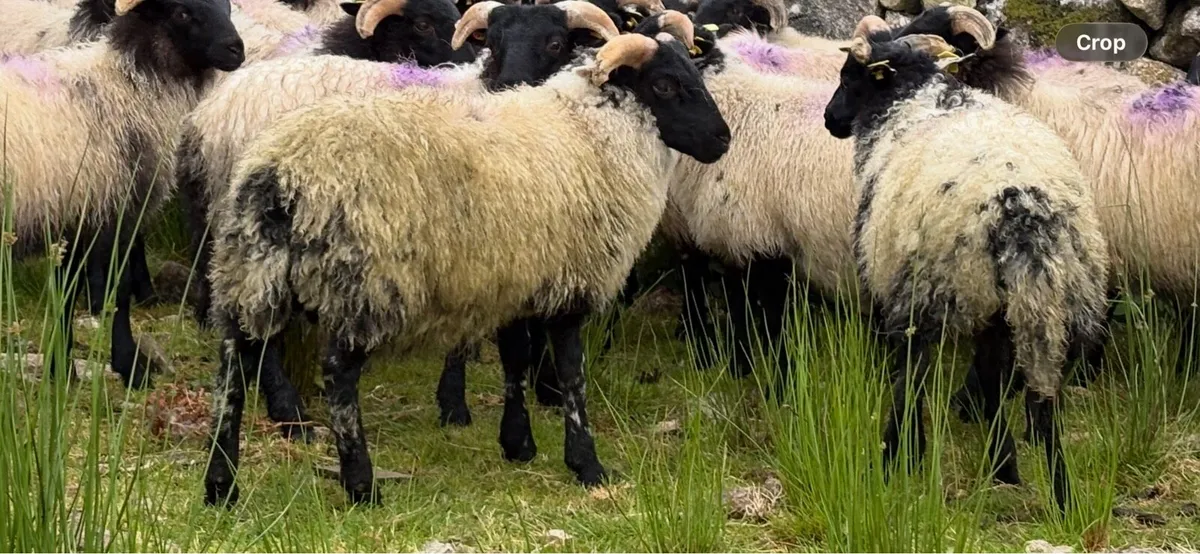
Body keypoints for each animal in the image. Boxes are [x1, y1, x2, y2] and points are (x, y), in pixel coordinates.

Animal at [0, 0, 243, 388]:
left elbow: (65, 295)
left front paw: (61, 371)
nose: (237, 49)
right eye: (182, 13)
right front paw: (131, 367)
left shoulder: (74, 219)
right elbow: (119, 287)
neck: (125, 87)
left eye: (228, 7)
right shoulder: (110, 212)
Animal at [200, 32, 730, 505]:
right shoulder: (569, 282)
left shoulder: (515, 279)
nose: (722, 140)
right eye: (664, 84)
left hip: (249, 274)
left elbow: (515, 361)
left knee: (233, 372)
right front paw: (587, 465)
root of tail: (278, 176)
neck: (590, 132)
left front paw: (517, 444)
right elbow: (572, 377)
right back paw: (361, 486)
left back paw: (221, 486)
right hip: (365, 283)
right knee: (337, 377)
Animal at [823, 20, 1109, 511]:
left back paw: (895, 456)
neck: (915, 97)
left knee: (914, 374)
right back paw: (1051, 491)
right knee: (1036, 397)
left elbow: (909, 374)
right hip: (1037, 301)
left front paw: (905, 454)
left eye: (848, 75)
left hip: (931, 283)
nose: (829, 119)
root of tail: (1019, 209)